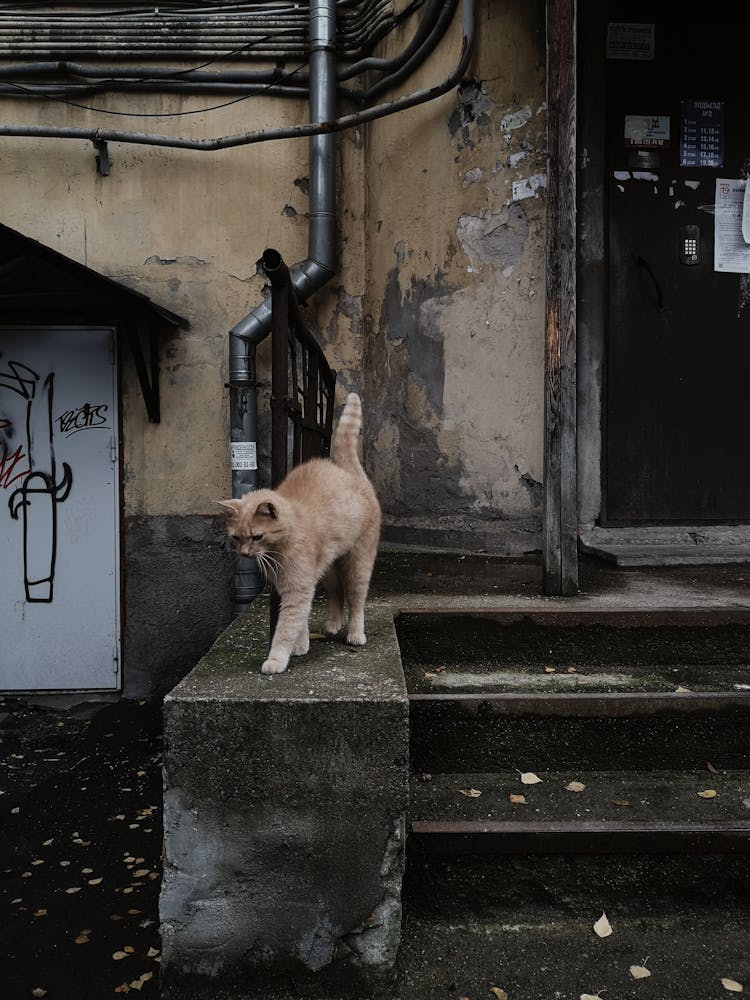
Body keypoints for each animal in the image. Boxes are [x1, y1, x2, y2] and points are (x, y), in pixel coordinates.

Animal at [217, 394, 382, 676]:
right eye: (236, 538)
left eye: (257, 537)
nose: (245, 554)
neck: (278, 549)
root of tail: (349, 473)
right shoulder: (299, 586)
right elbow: (301, 620)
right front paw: (301, 644)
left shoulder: (297, 589)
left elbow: (286, 627)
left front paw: (277, 658)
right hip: (327, 570)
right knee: (337, 593)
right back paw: (332, 624)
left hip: (358, 564)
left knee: (356, 599)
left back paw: (355, 634)